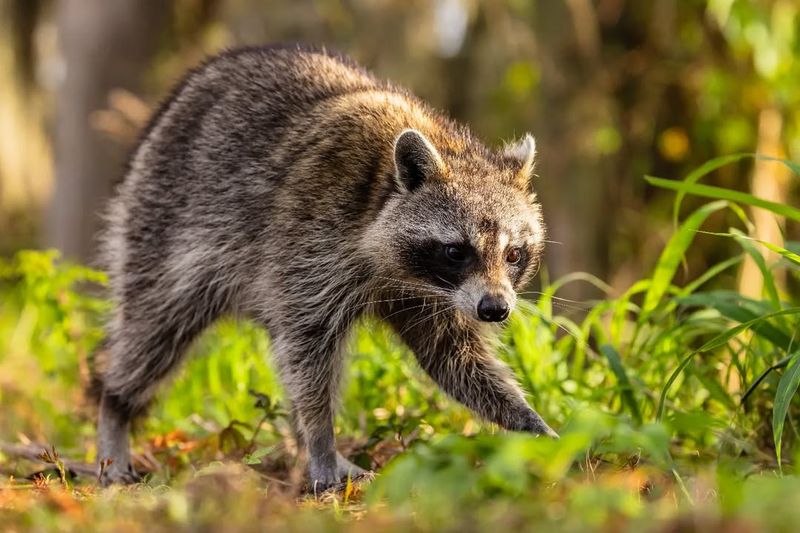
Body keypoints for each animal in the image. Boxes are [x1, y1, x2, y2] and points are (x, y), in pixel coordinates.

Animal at [94, 45, 557, 490]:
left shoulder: (434, 299)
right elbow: (310, 351)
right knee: (154, 333)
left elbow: (456, 360)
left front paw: (530, 422)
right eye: (457, 251)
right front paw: (319, 441)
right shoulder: (309, 240)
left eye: (514, 254)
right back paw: (115, 407)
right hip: (161, 224)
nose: (496, 310)